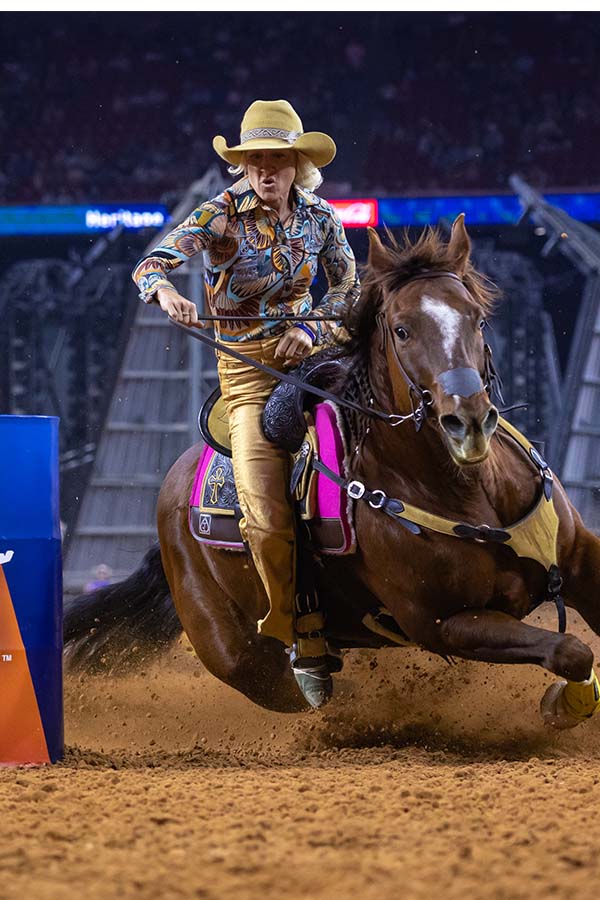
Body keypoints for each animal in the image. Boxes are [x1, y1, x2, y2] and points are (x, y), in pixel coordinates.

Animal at [64, 215, 600, 728]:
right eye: (401, 329)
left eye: (478, 319)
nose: (467, 421)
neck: (466, 490)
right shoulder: (443, 624)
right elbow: (570, 651)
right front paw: (564, 704)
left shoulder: (579, 558)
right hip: (237, 655)